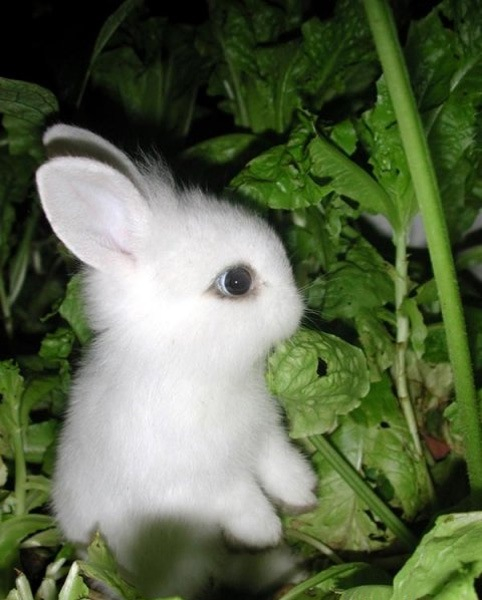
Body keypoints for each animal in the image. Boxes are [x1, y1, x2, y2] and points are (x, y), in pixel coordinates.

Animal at [36, 124, 318, 599]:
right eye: (236, 282)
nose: (298, 307)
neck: (187, 364)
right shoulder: (202, 482)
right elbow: (241, 499)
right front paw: (267, 531)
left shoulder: (263, 437)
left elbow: (279, 465)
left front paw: (305, 494)